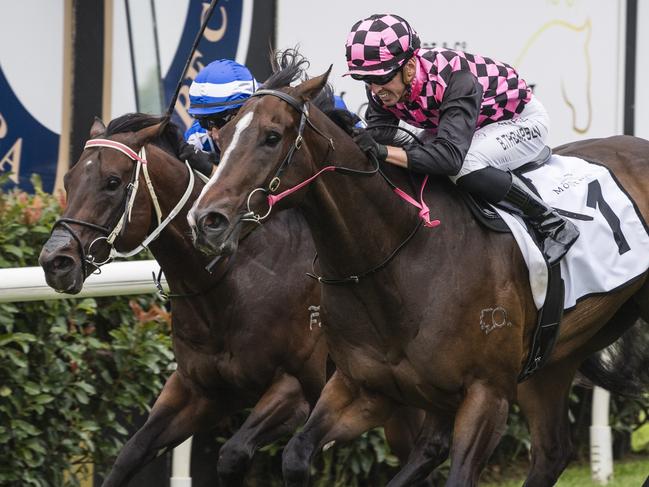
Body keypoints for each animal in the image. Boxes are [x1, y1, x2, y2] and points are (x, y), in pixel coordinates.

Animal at [189, 62, 649, 487]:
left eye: (271, 136)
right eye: (221, 139)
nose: (206, 221)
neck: (396, 261)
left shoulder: (487, 392)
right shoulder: (363, 387)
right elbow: (297, 454)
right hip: (556, 356)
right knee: (550, 451)